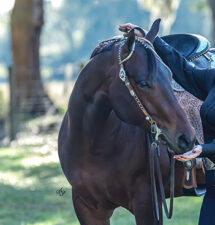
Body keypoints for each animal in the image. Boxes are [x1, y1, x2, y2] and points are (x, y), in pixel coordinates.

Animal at [58, 20, 196, 224]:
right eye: (143, 83)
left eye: (171, 77)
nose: (187, 137)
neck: (93, 145)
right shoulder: (86, 207)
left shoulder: (147, 204)